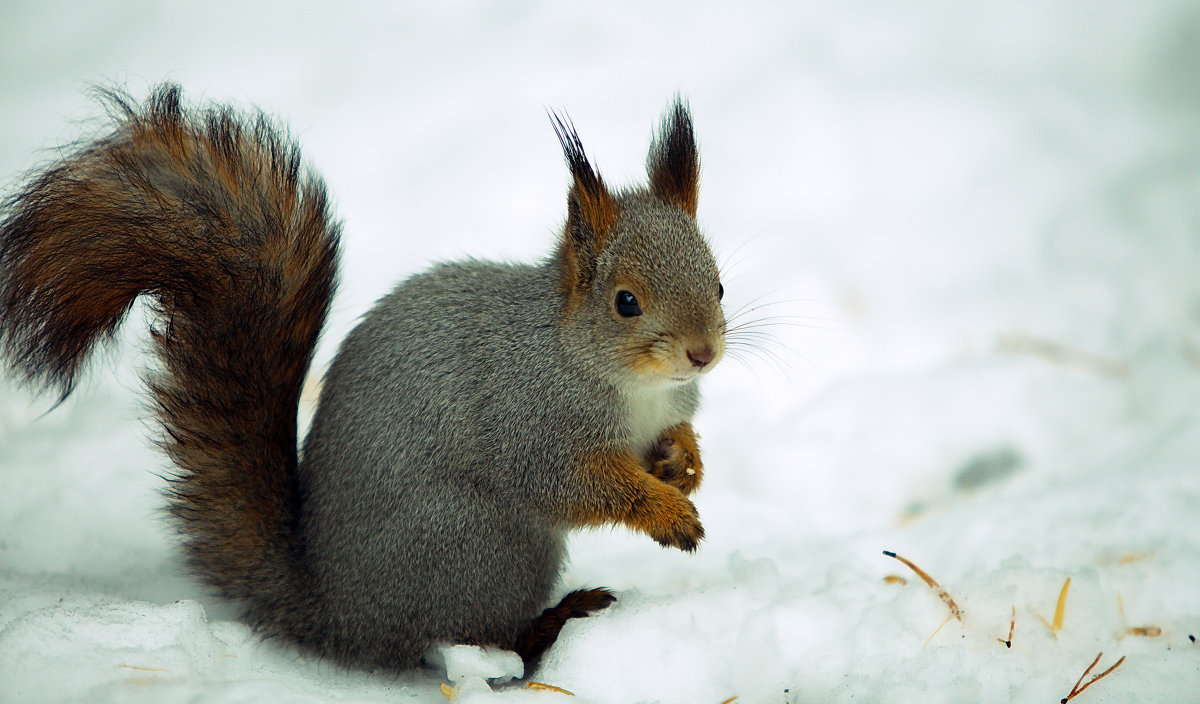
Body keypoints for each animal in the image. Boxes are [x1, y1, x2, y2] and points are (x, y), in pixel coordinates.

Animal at [0, 85, 724, 676]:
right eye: (626, 302)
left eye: (718, 283)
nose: (703, 354)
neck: (624, 379)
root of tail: (335, 616)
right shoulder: (531, 421)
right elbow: (574, 483)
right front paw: (663, 509)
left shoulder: (665, 408)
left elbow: (672, 439)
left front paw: (684, 465)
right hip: (485, 545)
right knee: (465, 639)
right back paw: (548, 625)